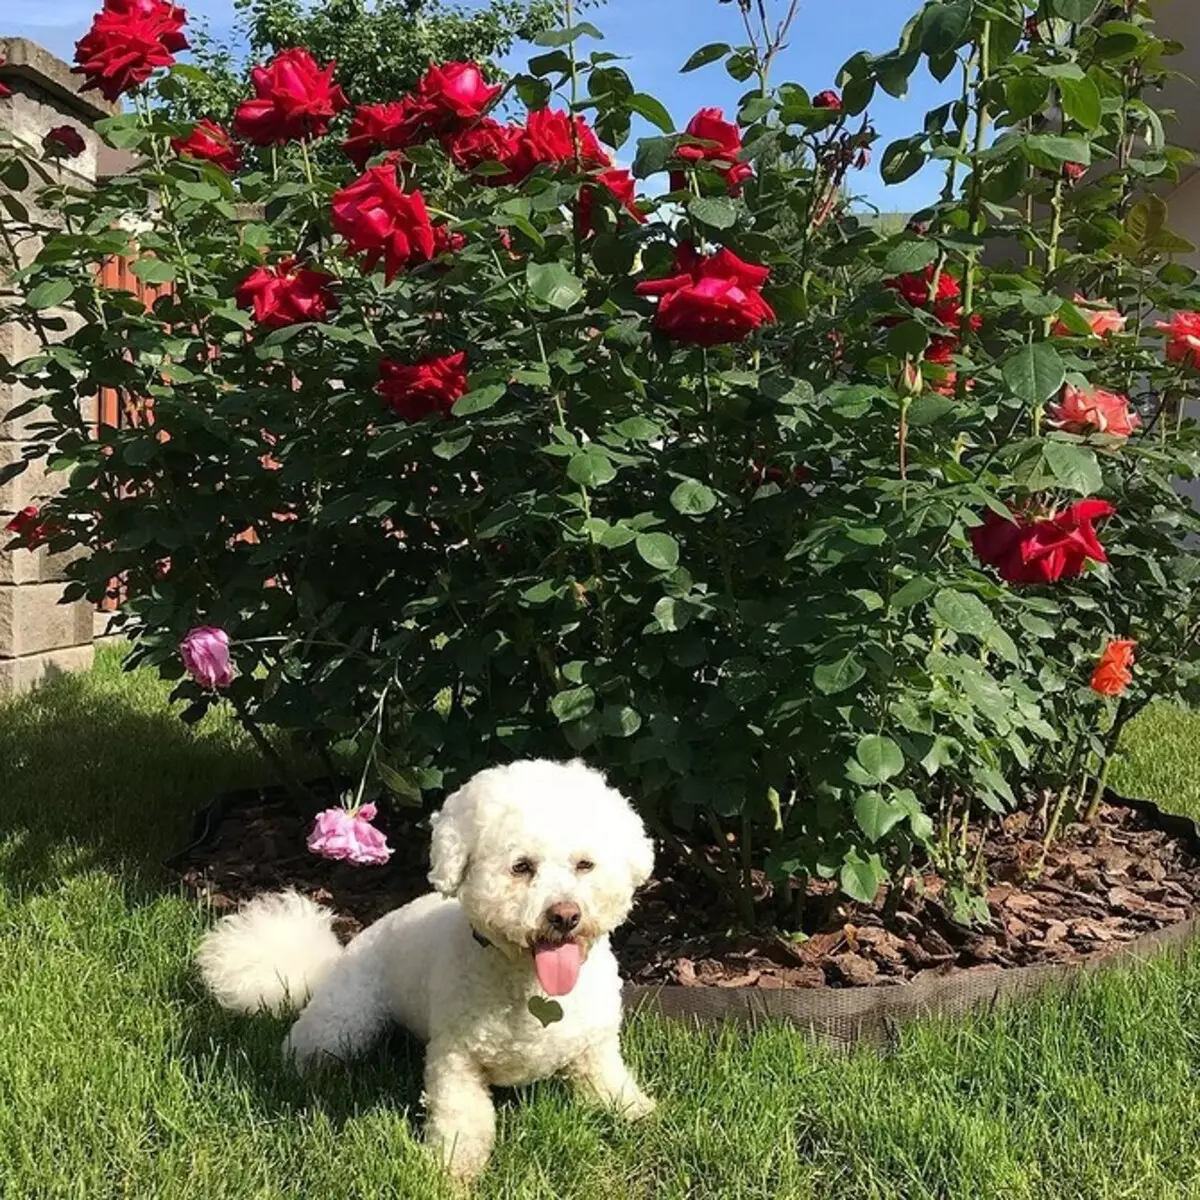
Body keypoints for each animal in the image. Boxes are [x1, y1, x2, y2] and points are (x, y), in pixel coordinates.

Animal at [201, 758, 662, 1180]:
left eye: (585, 865)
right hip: (344, 1025)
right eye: (521, 867)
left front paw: (638, 1112)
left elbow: (609, 1080)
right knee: (305, 1048)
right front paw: (452, 1167)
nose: (565, 915)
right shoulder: (455, 1059)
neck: (532, 984)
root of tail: (338, 957)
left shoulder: (596, 1045)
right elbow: (463, 1117)